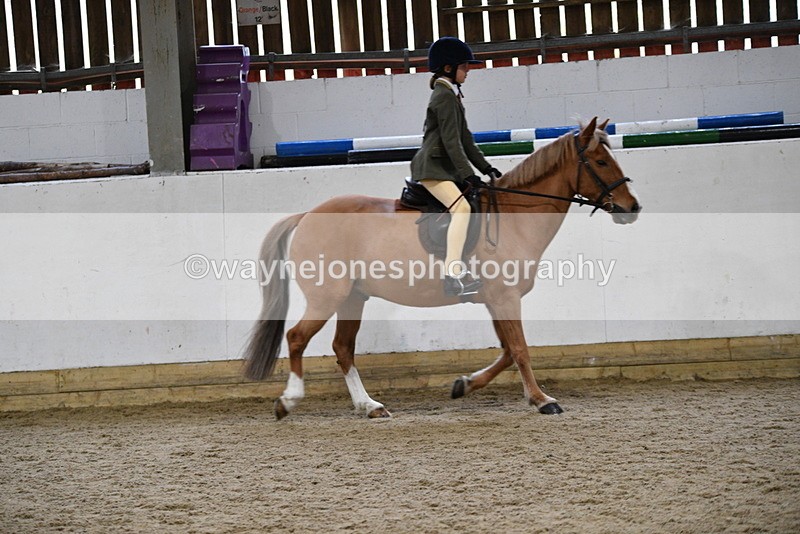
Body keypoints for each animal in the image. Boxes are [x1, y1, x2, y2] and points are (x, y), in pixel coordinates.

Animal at [244, 117, 641, 419]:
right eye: (601, 162)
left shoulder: (495, 300)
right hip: (327, 298)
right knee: (297, 338)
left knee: (343, 348)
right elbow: (520, 350)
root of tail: (307, 216)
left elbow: (507, 351)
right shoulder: (506, 298)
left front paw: (464, 385)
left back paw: (369, 406)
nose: (632, 207)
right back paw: (288, 401)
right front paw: (543, 400)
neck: (515, 217)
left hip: (353, 299)